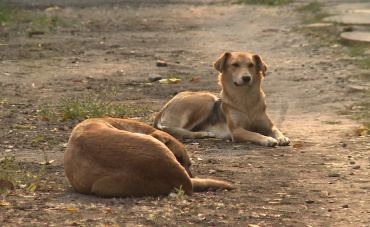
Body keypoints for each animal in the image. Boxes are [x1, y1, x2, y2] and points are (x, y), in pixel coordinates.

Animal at [153, 51, 290, 147]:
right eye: (235, 65)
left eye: (251, 65)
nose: (246, 78)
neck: (245, 100)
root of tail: (162, 110)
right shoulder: (236, 130)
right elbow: (254, 133)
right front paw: (267, 139)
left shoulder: (268, 125)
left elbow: (276, 129)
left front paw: (281, 137)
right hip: (207, 98)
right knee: (182, 131)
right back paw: (204, 133)